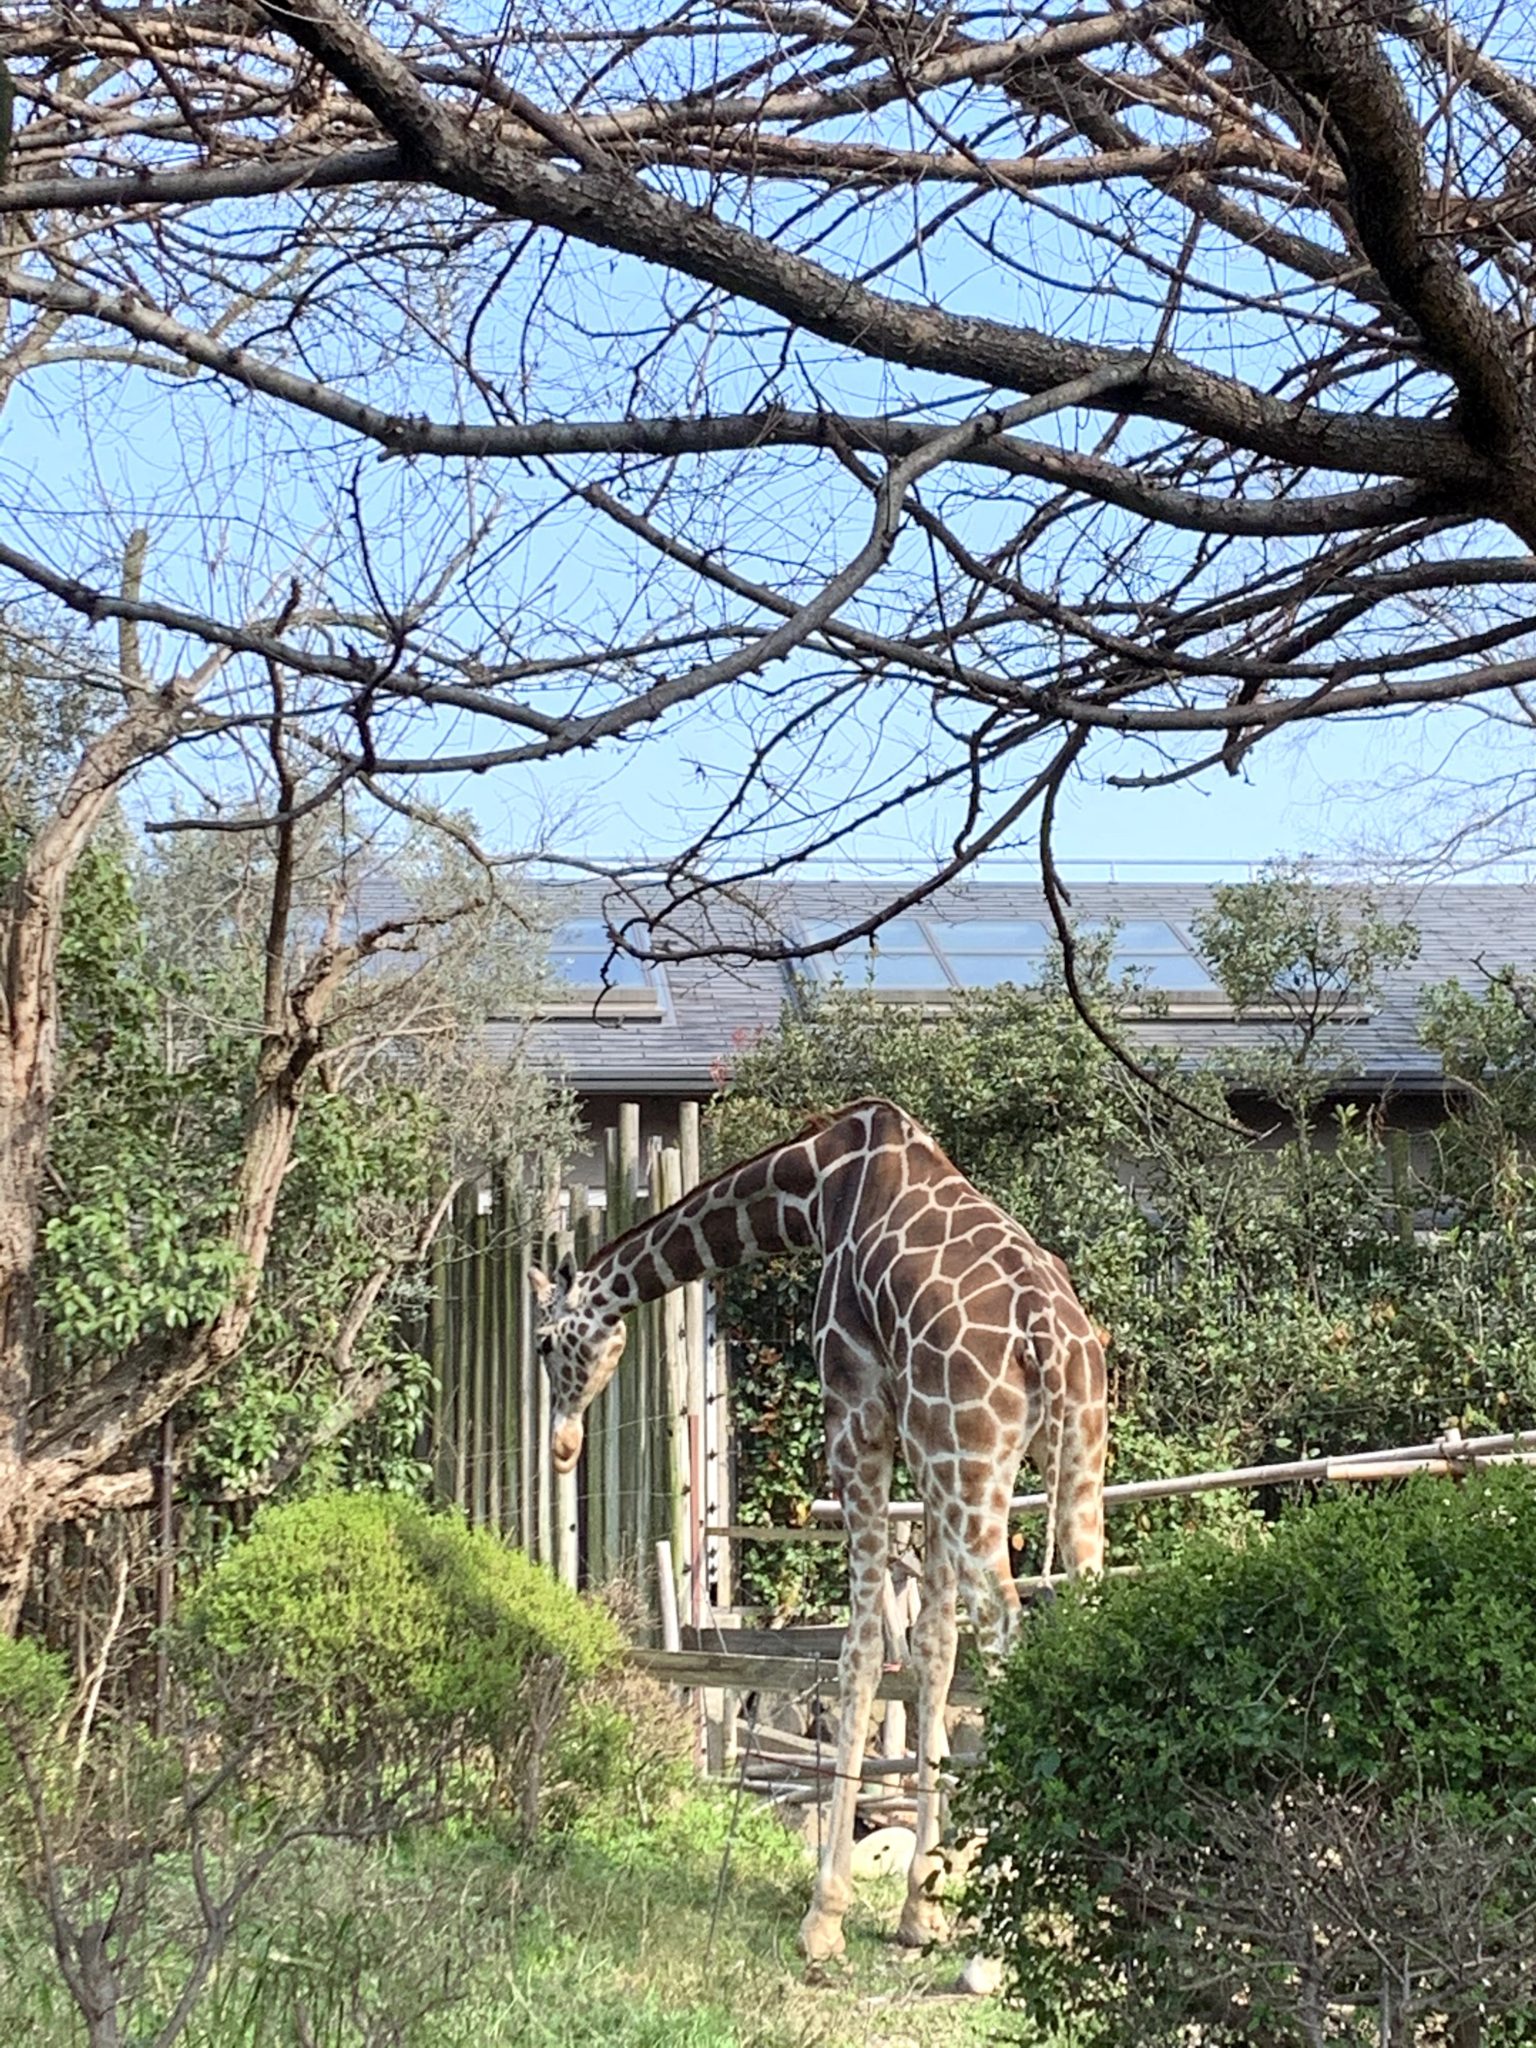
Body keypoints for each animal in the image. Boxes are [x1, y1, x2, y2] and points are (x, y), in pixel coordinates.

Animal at [528, 1097, 1105, 1957]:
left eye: (543, 1342)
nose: (562, 1446)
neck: (813, 1190)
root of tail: (1052, 1339)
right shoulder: (921, 1450)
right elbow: (932, 1652)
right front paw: (921, 1906)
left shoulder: (858, 1418)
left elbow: (860, 1650)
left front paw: (824, 1914)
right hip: (1069, 1461)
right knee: (1083, 1607)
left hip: (978, 1465)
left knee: (1006, 1628)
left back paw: (1019, 1925)